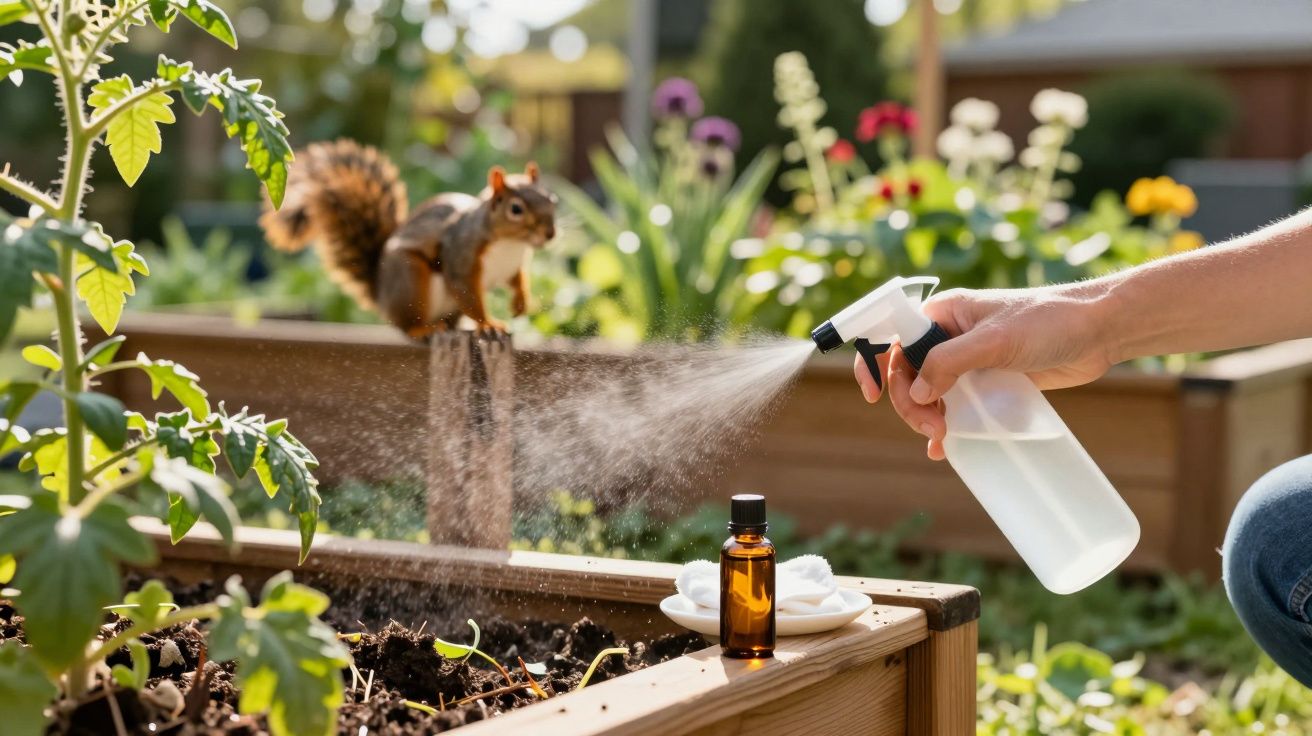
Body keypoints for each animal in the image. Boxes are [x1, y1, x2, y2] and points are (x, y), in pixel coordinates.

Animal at [260, 139, 557, 339]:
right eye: (516, 209)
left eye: (552, 199)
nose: (550, 234)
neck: (511, 244)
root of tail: (381, 295)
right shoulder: (460, 255)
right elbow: (468, 293)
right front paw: (488, 324)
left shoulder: (513, 265)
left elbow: (517, 281)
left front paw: (521, 304)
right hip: (409, 278)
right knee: (406, 323)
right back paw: (423, 329)